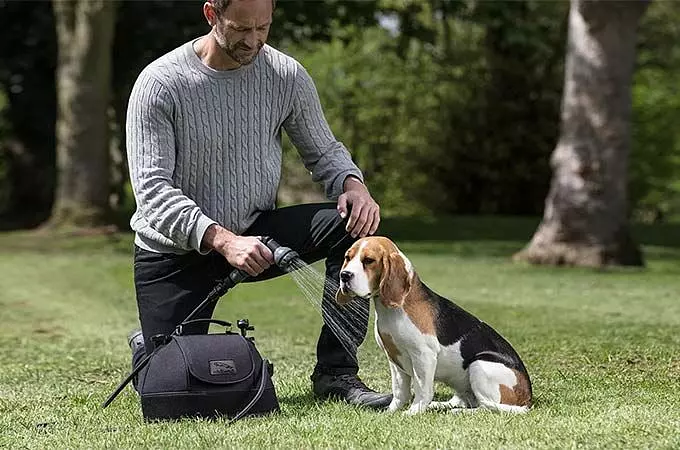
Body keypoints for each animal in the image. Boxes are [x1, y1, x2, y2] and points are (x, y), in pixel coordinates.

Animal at [334, 236, 532, 414]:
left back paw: (459, 412)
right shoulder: (394, 359)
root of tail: (528, 397)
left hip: (480, 364)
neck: (393, 310)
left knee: (486, 407)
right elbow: (399, 392)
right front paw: (391, 412)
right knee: (466, 400)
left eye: (369, 260)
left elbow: (422, 390)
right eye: (347, 257)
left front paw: (413, 412)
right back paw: (440, 406)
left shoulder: (424, 355)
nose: (344, 275)